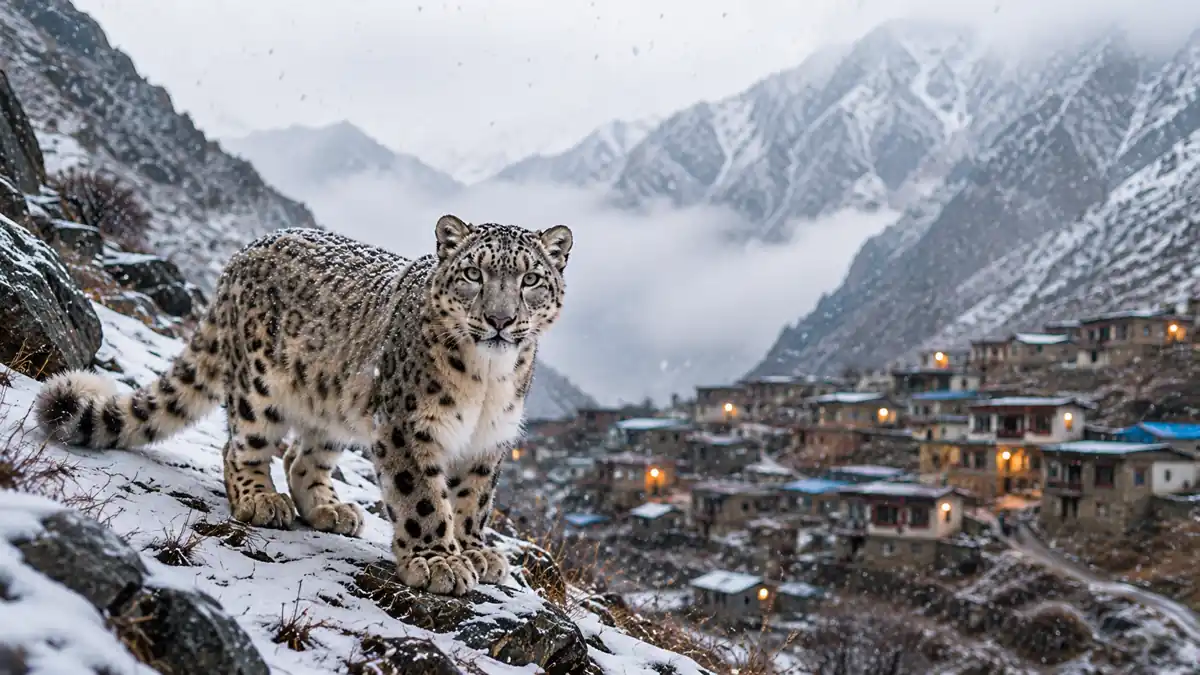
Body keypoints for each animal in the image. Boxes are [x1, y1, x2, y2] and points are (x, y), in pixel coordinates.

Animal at [35, 214, 573, 596]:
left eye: (530, 280)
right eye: (473, 274)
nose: (500, 319)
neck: (488, 382)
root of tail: (243, 254)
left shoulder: (490, 442)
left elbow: (473, 500)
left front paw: (476, 551)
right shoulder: (407, 425)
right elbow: (422, 496)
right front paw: (437, 561)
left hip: (334, 404)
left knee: (301, 457)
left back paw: (329, 509)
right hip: (258, 383)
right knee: (241, 445)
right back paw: (260, 499)